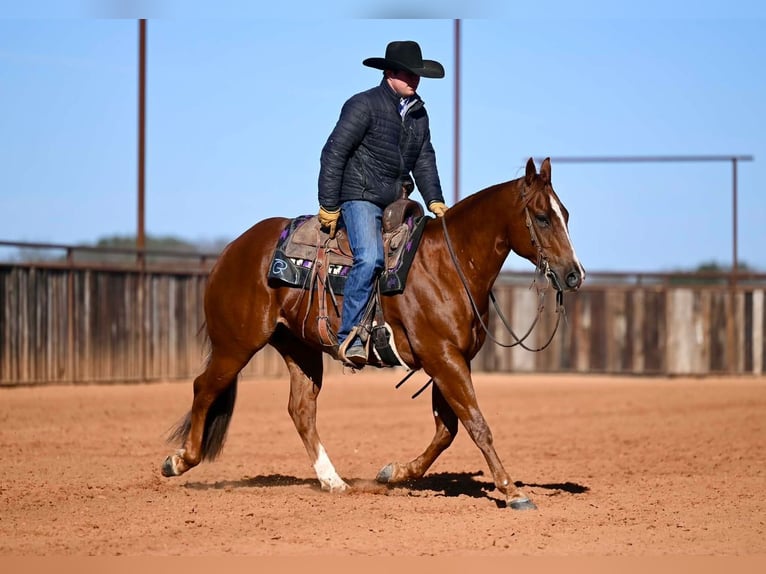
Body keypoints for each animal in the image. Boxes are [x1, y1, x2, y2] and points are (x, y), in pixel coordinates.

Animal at [161, 157, 585, 510]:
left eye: (566, 213)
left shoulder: (450, 360)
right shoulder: (443, 358)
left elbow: (447, 430)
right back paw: (179, 461)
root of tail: (233, 250)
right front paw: (512, 491)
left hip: (299, 347)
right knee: (205, 387)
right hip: (236, 343)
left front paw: (392, 473)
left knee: (301, 410)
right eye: (542, 217)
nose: (573, 274)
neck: (448, 265)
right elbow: (476, 425)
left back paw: (333, 481)